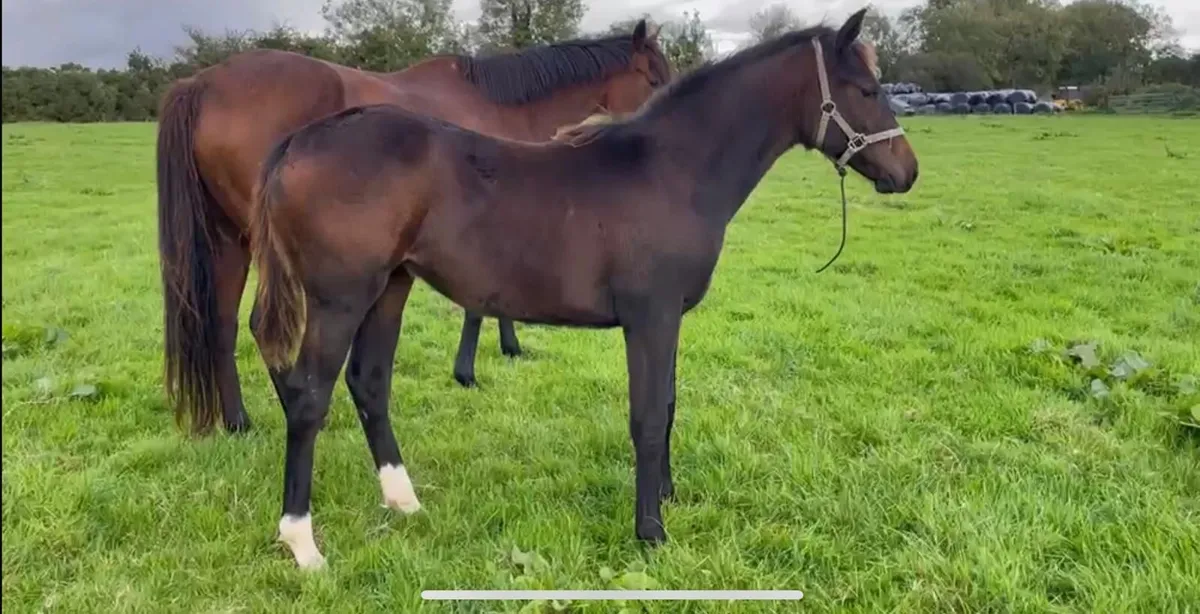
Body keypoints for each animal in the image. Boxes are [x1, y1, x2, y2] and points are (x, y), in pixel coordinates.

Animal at [156, 21, 673, 437]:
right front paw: (467, 371)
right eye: (653, 77)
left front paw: (509, 346)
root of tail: (201, 83)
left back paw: (238, 420)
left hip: (230, 238)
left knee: (221, 324)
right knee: (262, 328)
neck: (503, 107)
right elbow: (475, 307)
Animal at [246, 9, 918, 568]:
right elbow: (647, 416)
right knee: (308, 396)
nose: (907, 171)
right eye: (866, 90)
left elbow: (668, 405)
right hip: (339, 298)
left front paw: (668, 500)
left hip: (390, 287)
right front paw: (650, 532)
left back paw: (403, 501)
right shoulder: (649, 316)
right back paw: (301, 542)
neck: (672, 171)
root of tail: (300, 142)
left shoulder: (669, 318)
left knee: (369, 383)